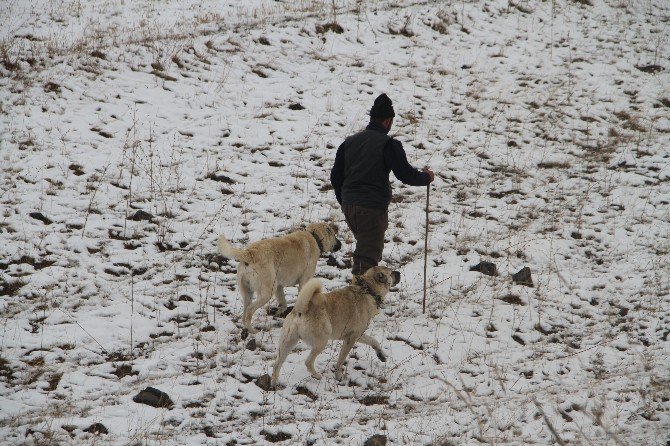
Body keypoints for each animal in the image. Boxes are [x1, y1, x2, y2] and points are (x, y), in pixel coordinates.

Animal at [272, 264, 402, 386]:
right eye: (391, 272)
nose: (399, 273)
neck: (368, 289)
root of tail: (301, 309)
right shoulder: (350, 339)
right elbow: (340, 360)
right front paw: (338, 376)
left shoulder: (358, 335)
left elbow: (373, 341)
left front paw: (381, 355)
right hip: (321, 342)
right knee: (308, 362)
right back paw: (316, 375)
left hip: (287, 343)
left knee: (276, 363)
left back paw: (274, 384)